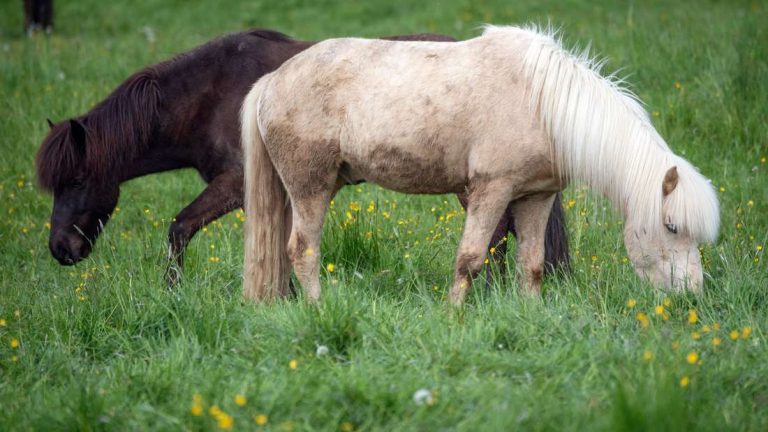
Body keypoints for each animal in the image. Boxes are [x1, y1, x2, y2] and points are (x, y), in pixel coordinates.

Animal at [33, 27, 568, 284]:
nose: (61, 249)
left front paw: (173, 293)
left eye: (75, 180)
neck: (212, 94)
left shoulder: (235, 185)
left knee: (498, 235)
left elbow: (180, 229)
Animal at [242, 25, 720, 306]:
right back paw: (318, 308)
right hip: (311, 187)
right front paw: (453, 316)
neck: (543, 103)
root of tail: (272, 80)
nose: (692, 297)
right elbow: (470, 259)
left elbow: (531, 263)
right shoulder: (491, 190)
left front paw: (531, 314)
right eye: (672, 227)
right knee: (302, 250)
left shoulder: (535, 196)